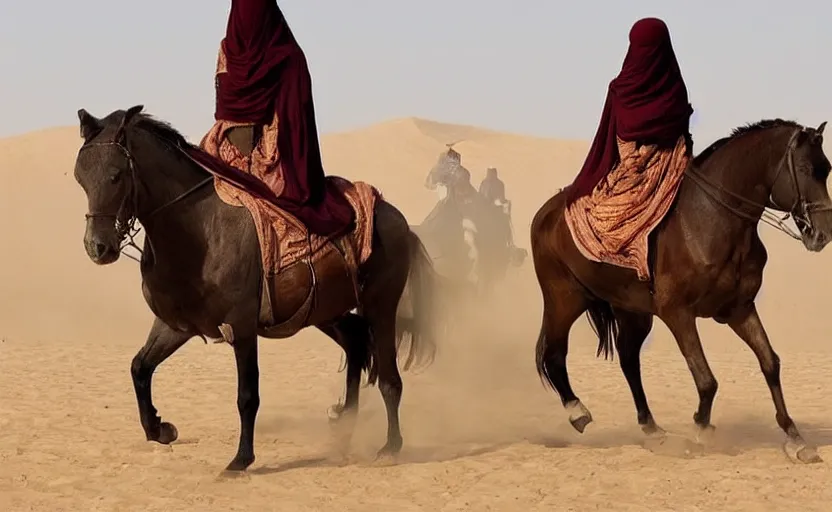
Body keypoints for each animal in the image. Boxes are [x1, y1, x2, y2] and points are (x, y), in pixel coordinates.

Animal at [72, 104, 442, 472]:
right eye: (80, 177)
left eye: (116, 175)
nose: (97, 247)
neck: (200, 230)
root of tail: (398, 220)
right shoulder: (176, 325)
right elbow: (140, 367)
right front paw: (160, 429)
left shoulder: (241, 325)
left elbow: (247, 395)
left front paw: (240, 459)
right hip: (326, 311)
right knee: (355, 343)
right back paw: (344, 428)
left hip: (381, 306)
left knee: (389, 378)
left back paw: (390, 446)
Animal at [532, 120, 832, 464]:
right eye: (805, 168)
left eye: (827, 169)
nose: (823, 234)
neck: (711, 221)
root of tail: (544, 214)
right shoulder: (678, 313)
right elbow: (705, 378)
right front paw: (700, 431)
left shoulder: (739, 309)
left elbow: (770, 362)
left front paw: (796, 439)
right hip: (564, 298)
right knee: (554, 353)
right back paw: (578, 412)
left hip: (632, 311)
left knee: (628, 358)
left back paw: (652, 429)